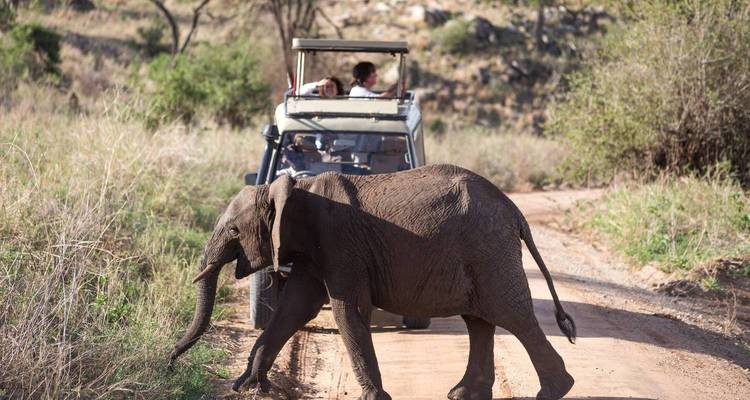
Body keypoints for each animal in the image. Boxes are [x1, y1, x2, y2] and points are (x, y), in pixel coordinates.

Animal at [169, 164, 576, 400]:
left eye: (234, 231)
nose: (171, 358)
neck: (295, 187)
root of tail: (514, 211)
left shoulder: (339, 243)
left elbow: (346, 310)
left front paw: (374, 398)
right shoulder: (313, 252)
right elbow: (294, 308)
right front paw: (248, 386)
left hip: (489, 250)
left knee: (512, 315)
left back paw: (553, 392)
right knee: (479, 321)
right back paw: (462, 394)